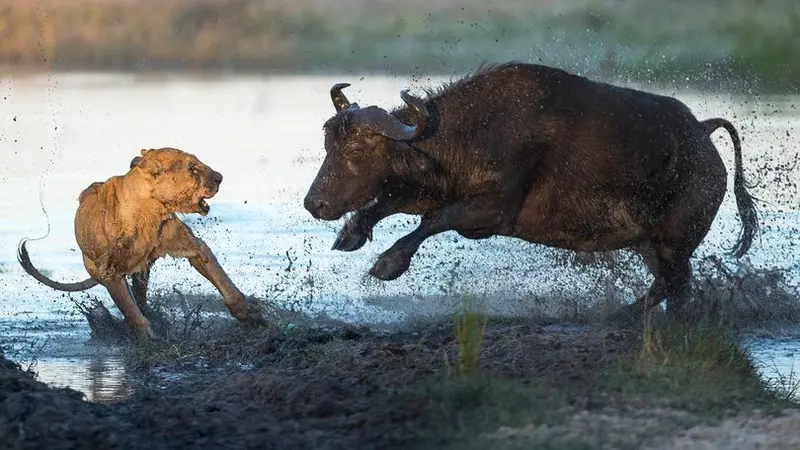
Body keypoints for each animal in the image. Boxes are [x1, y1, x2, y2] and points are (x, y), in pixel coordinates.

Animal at [304, 61, 760, 320]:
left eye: (358, 149)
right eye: (328, 143)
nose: (314, 203)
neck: (477, 131)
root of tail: (703, 133)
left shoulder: (492, 214)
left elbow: (433, 220)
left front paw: (388, 263)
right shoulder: (435, 188)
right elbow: (390, 201)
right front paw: (351, 233)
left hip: (674, 241)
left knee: (674, 285)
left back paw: (622, 318)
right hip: (649, 243)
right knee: (672, 285)